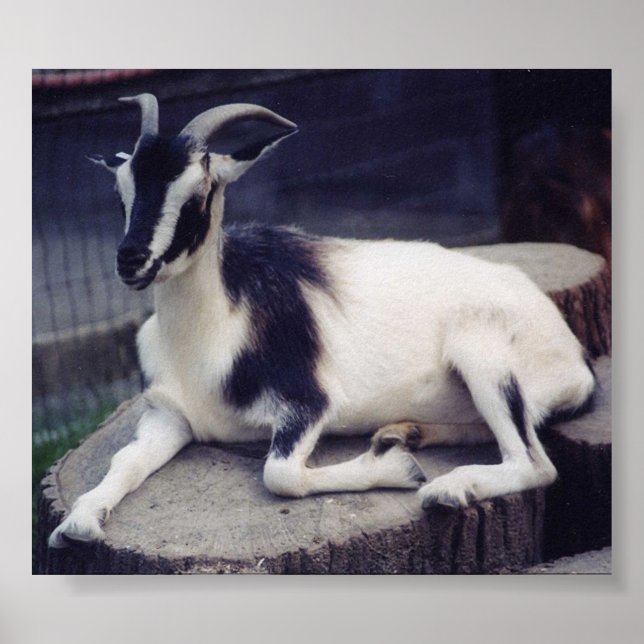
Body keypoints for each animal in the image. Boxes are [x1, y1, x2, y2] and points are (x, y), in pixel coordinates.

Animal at [49, 94, 595, 548]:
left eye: (199, 193)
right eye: (121, 193)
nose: (131, 260)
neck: (206, 336)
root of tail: (577, 357)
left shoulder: (309, 403)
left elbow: (280, 475)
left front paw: (400, 472)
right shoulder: (170, 415)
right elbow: (123, 461)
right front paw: (78, 522)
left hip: (483, 355)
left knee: (533, 463)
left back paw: (446, 487)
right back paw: (408, 434)